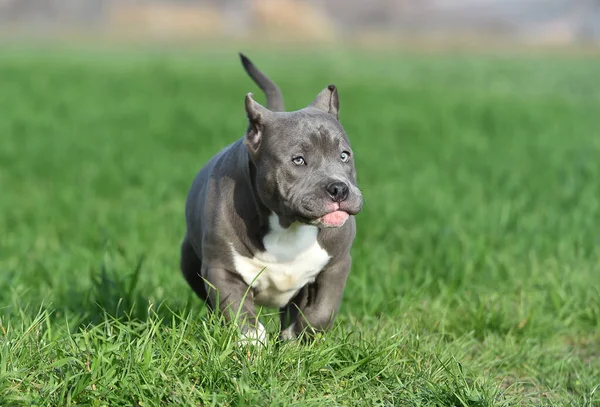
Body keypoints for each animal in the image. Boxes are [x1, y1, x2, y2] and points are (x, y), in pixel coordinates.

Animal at [180, 52, 364, 342]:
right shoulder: (222, 269)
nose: (339, 189)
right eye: (298, 160)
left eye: (344, 155)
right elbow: (238, 312)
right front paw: (253, 343)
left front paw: (294, 339)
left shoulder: (336, 265)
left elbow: (322, 311)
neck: (289, 226)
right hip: (188, 260)